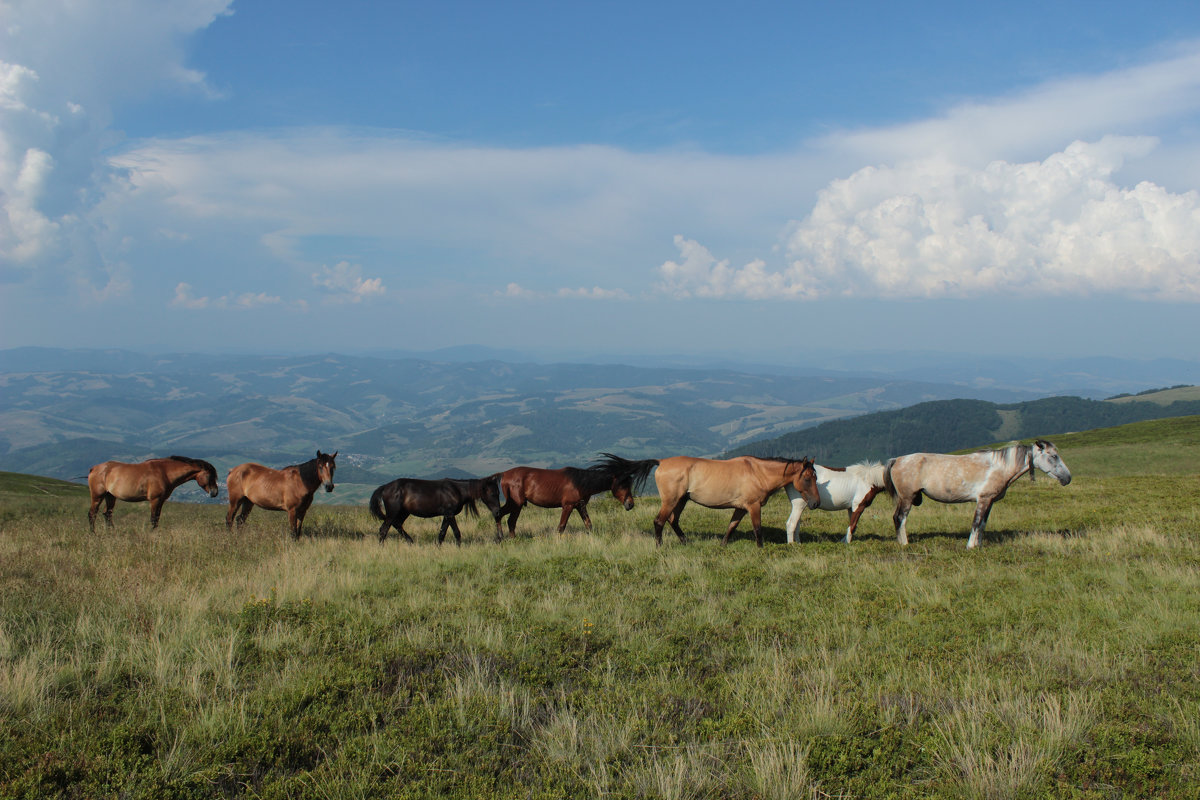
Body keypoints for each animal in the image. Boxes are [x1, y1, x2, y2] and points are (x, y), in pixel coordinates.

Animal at [88, 455, 223, 532]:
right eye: (210, 476)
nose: (215, 492)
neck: (165, 472)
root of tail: (94, 468)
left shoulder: (161, 501)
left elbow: (157, 519)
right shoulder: (155, 500)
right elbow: (153, 519)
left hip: (110, 496)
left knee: (107, 514)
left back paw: (111, 533)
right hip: (97, 497)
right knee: (92, 514)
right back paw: (93, 533)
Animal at [364, 474, 501, 544]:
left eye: (499, 493)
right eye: (493, 493)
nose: (497, 511)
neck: (457, 490)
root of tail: (385, 487)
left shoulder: (446, 515)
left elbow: (442, 534)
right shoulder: (450, 514)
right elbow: (457, 532)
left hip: (403, 512)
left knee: (397, 525)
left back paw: (411, 542)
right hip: (393, 512)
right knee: (384, 529)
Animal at [494, 453, 657, 542]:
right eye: (623, 484)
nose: (630, 504)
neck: (580, 482)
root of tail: (504, 474)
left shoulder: (580, 505)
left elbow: (588, 525)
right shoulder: (568, 506)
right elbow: (561, 527)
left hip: (514, 504)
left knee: (500, 515)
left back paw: (501, 538)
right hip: (517, 504)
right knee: (509, 520)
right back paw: (510, 539)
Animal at [652, 455, 820, 551]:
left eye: (815, 477)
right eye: (807, 478)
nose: (816, 503)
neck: (758, 473)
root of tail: (661, 462)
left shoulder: (741, 508)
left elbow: (732, 527)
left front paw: (722, 546)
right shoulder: (753, 506)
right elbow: (757, 529)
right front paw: (761, 549)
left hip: (681, 500)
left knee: (673, 520)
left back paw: (686, 542)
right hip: (670, 501)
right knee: (659, 521)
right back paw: (660, 547)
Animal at [888, 438, 1075, 551]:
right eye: (1053, 456)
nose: (1067, 478)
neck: (999, 467)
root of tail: (897, 460)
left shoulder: (990, 501)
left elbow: (983, 524)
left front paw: (978, 545)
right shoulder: (983, 499)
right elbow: (976, 522)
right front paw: (970, 546)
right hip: (907, 498)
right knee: (900, 518)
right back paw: (904, 543)